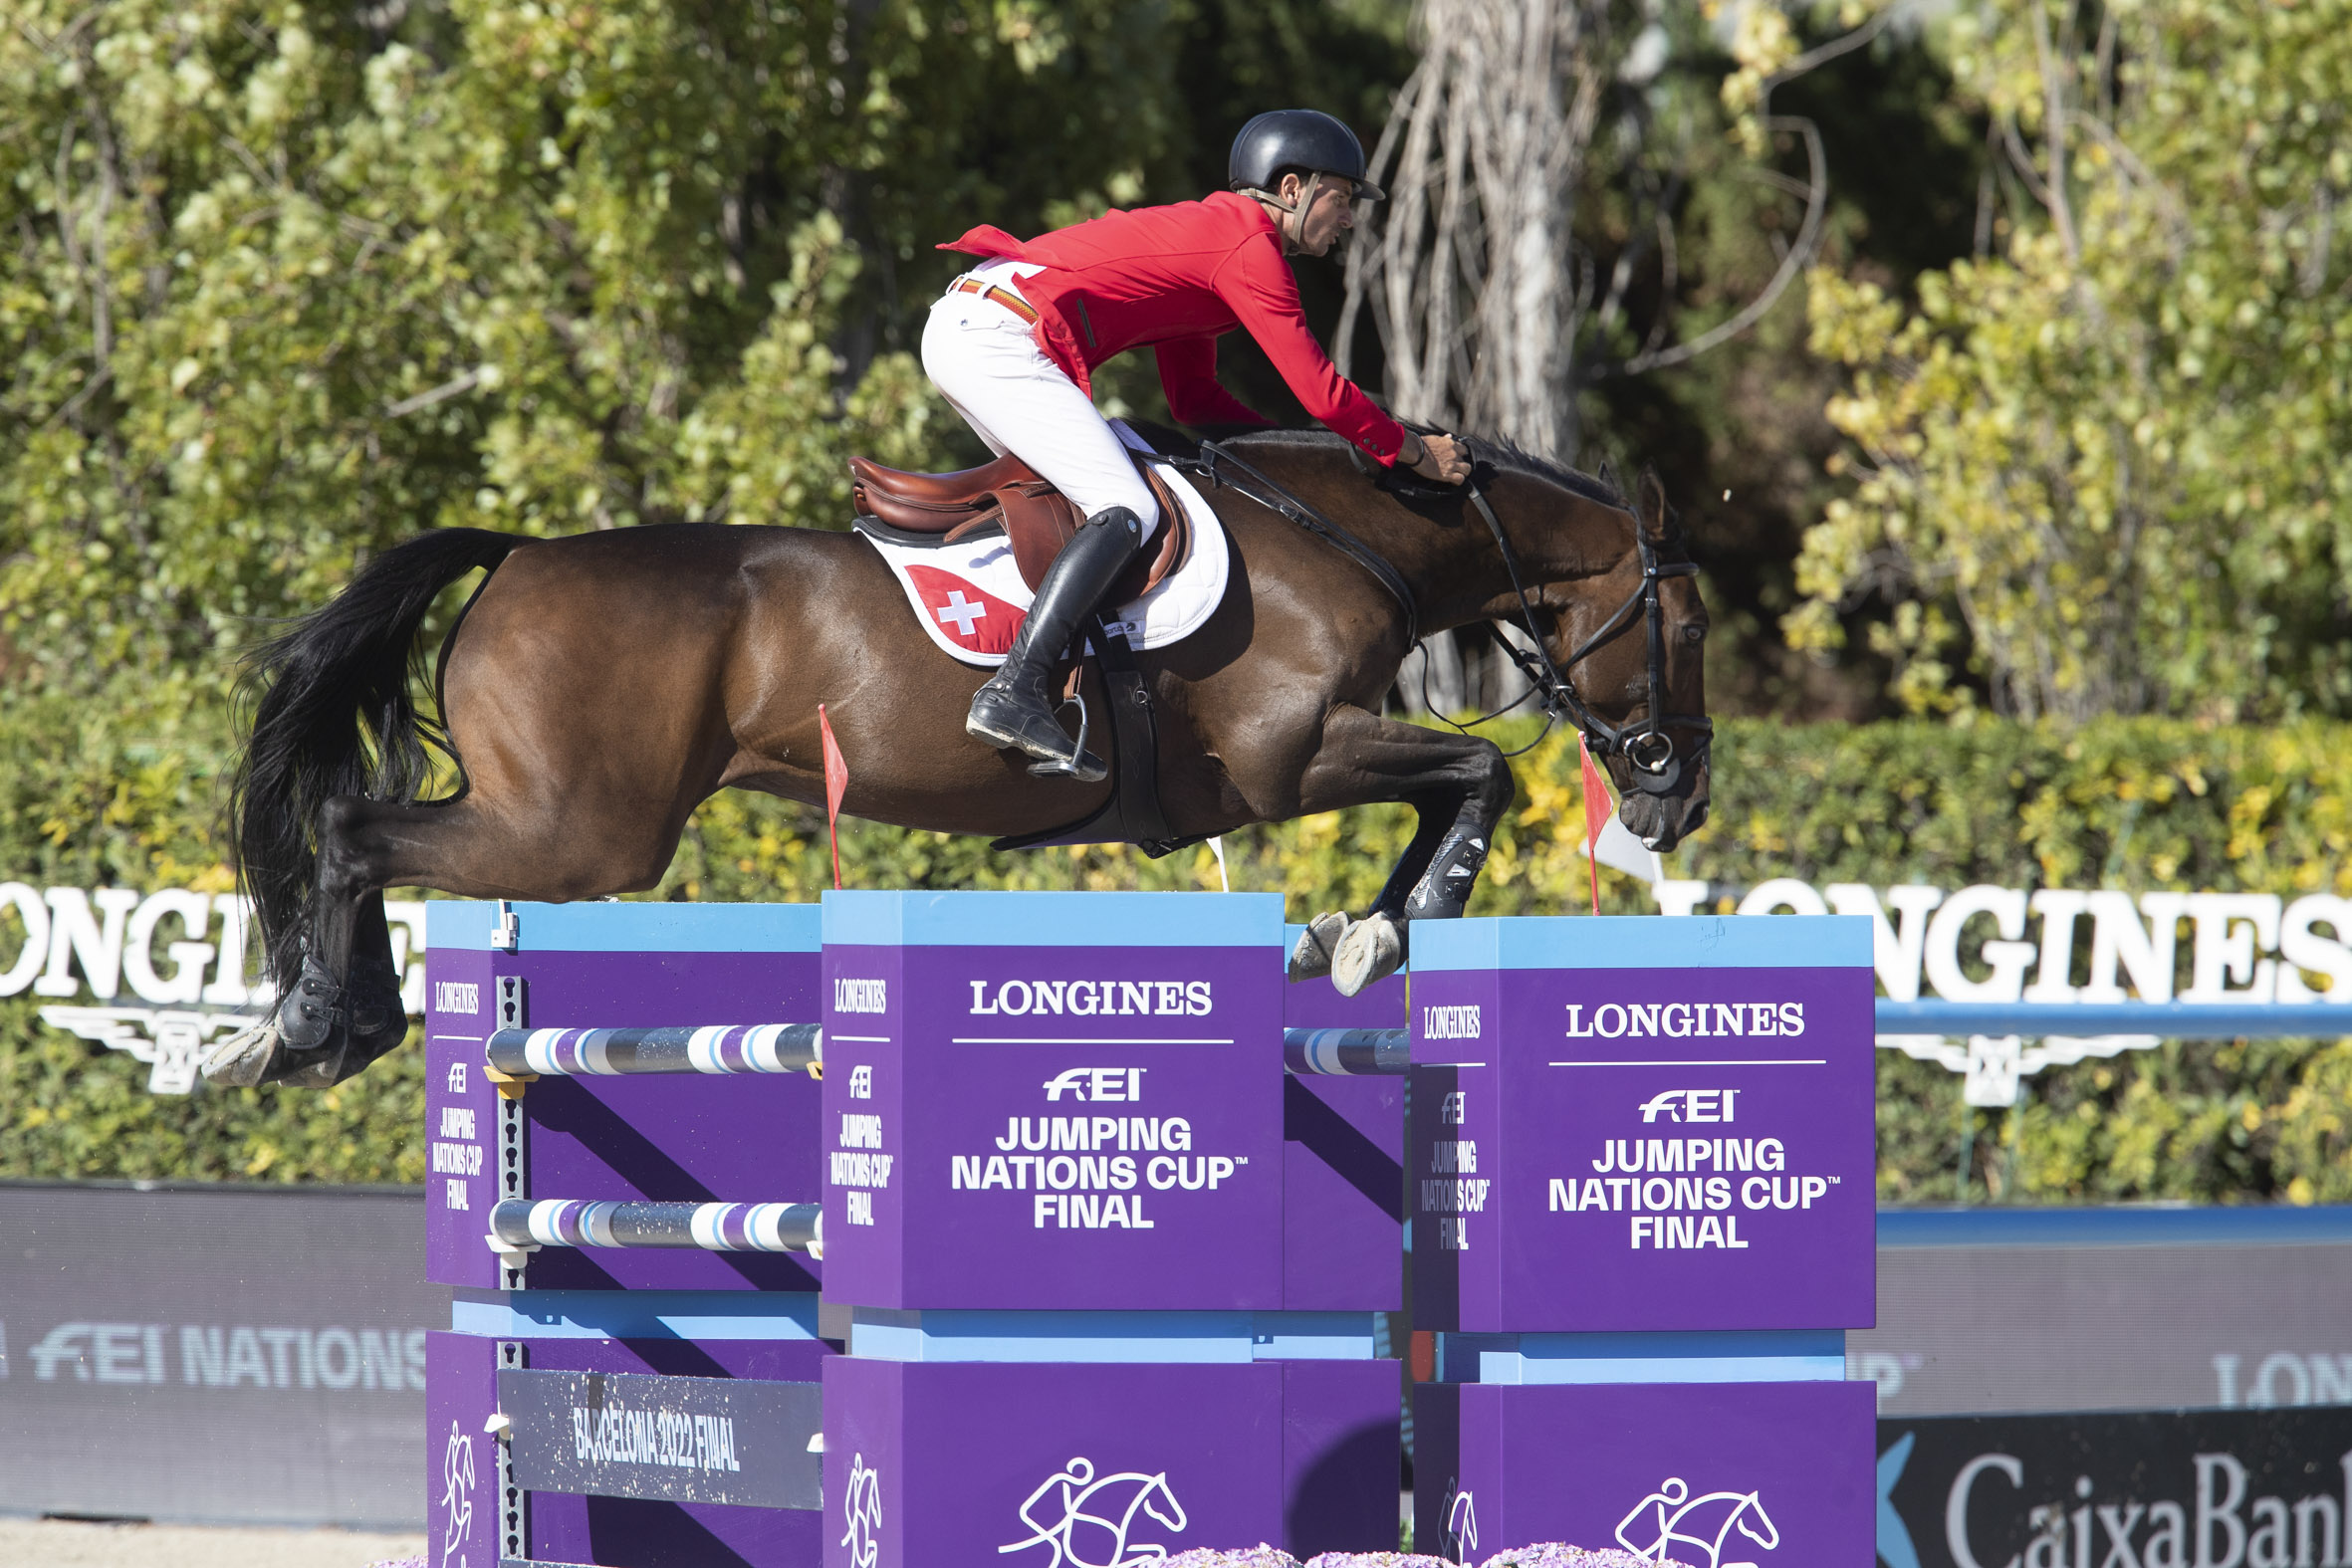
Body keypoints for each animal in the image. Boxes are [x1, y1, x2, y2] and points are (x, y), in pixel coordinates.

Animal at [211, 430, 1721, 1090]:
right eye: (1692, 627)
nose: (1677, 794)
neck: (1345, 532)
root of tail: (515, 555)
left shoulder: (1307, 761)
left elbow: (1451, 784)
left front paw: (1356, 930)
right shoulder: (1291, 756)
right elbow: (1479, 773)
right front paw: (1391, 930)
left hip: (562, 823)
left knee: (361, 830)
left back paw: (321, 1025)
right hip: (581, 833)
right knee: (353, 829)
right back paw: (318, 1026)